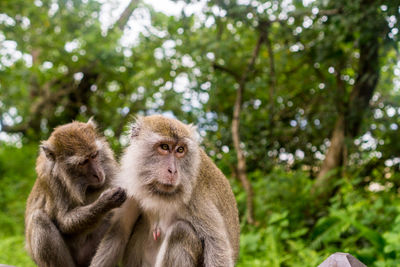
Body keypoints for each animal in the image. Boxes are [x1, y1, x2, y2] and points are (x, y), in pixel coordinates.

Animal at [24, 120, 126, 266]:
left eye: (94, 155)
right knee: (39, 219)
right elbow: (64, 221)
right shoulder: (50, 180)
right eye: (83, 162)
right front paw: (106, 202)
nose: (98, 174)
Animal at [90, 115, 239, 267]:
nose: (173, 170)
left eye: (180, 150)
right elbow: (119, 232)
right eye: (164, 147)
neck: (160, 193)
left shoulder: (195, 196)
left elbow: (216, 246)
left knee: (181, 230)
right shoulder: (130, 186)